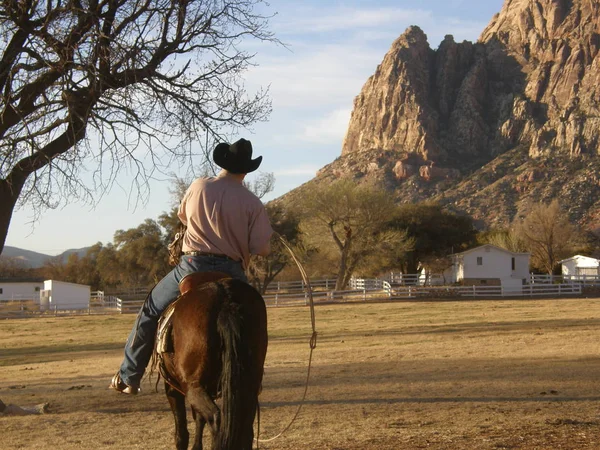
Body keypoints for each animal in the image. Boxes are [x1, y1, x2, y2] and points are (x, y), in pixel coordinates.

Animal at [155, 270, 268, 450]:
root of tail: (225, 299)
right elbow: (199, 419)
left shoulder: (172, 388)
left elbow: (182, 432)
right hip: (248, 385)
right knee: (244, 426)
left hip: (193, 386)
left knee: (216, 419)